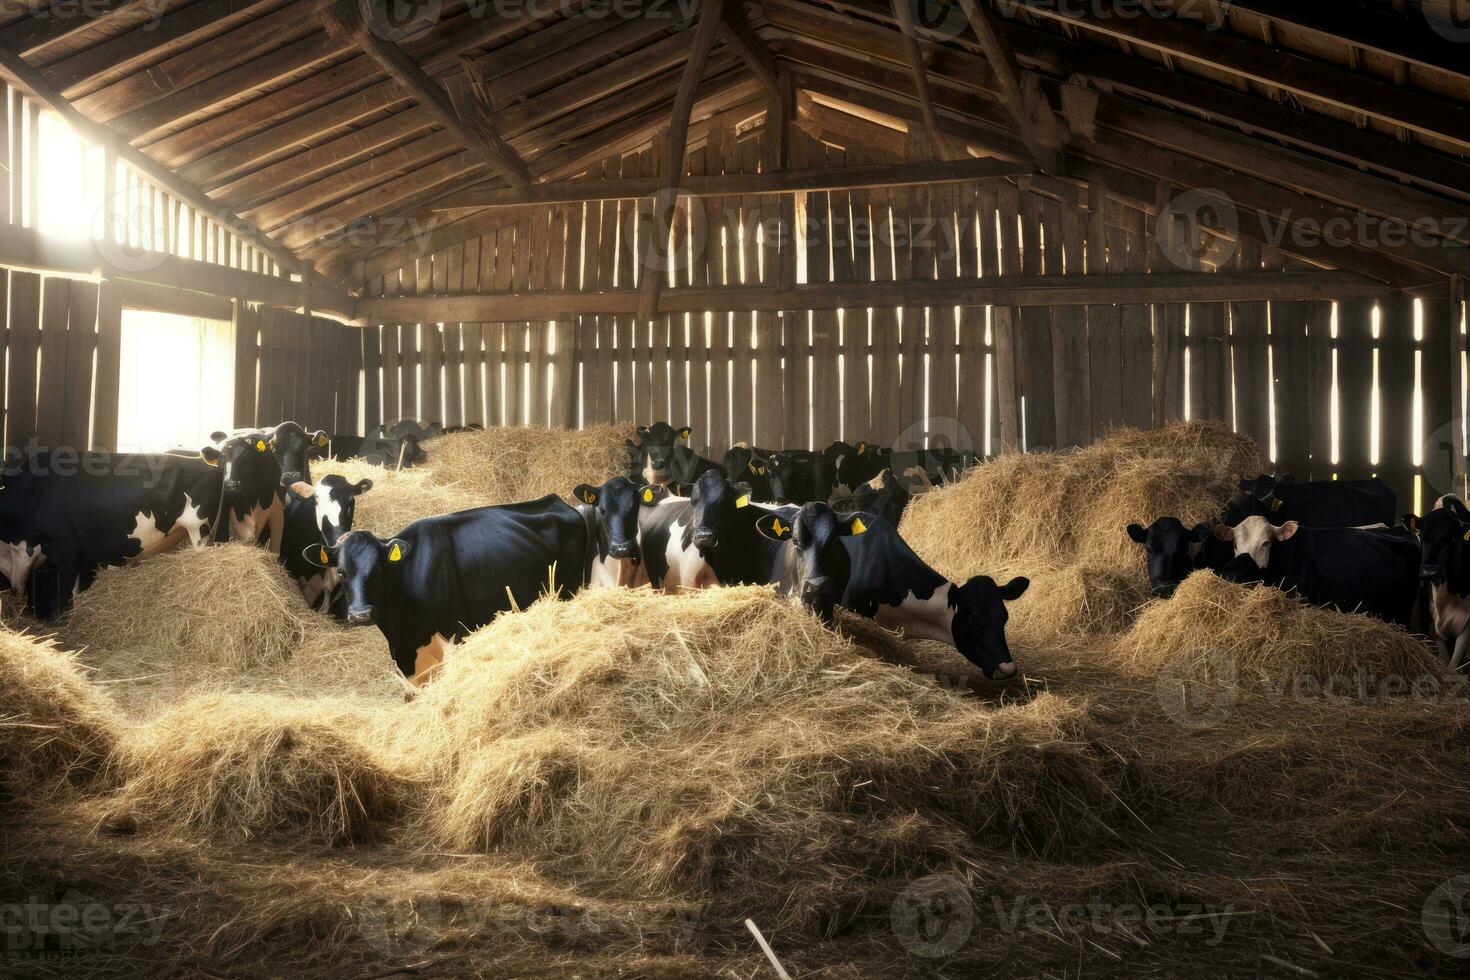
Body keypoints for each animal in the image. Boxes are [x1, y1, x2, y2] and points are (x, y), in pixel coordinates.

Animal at [302, 499, 585, 681]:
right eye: (341, 571)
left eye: (379, 569)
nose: (360, 614)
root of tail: (557, 501)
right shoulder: (404, 655)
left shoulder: (454, 636)